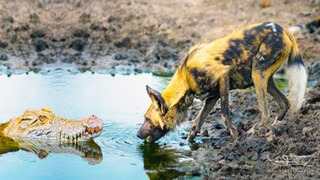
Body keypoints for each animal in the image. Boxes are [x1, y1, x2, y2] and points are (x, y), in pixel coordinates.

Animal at [137, 21, 308, 143]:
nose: (138, 134)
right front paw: (189, 143)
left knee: (265, 114)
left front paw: (235, 138)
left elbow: (224, 114)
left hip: (257, 74)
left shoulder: (222, 76)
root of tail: (282, 28)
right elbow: (196, 123)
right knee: (285, 103)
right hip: (265, 79)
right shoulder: (212, 96)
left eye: (147, 120)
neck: (186, 79)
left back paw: (253, 133)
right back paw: (274, 128)